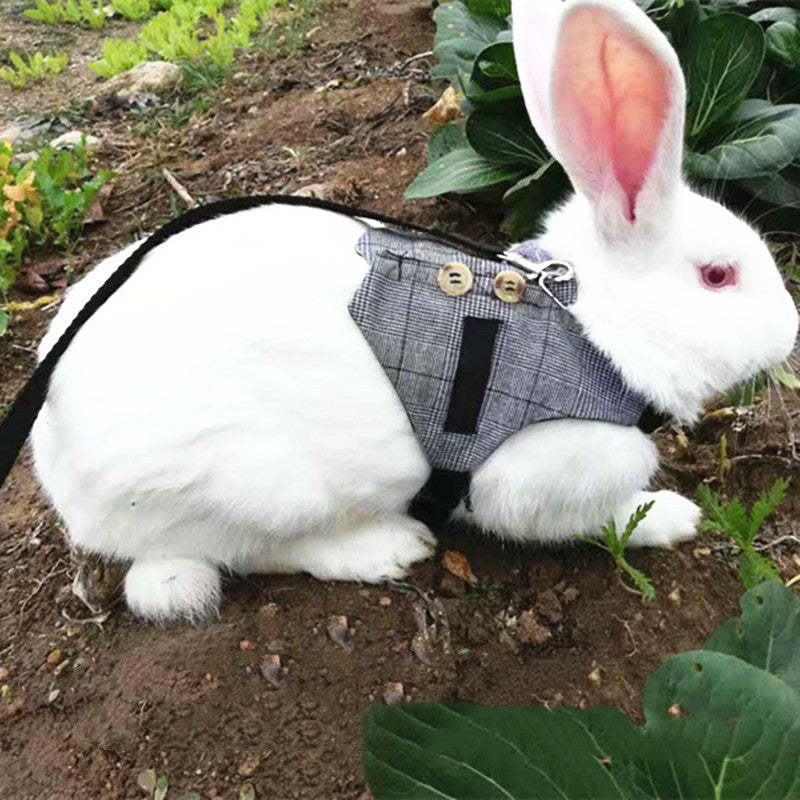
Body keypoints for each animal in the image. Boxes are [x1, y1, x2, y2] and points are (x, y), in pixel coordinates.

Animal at [29, 0, 798, 622]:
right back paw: (388, 549)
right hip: (254, 491)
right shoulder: (537, 476)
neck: (590, 328)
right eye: (718, 276)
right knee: (252, 553)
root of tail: (58, 470)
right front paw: (675, 517)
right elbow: (597, 518)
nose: (792, 328)